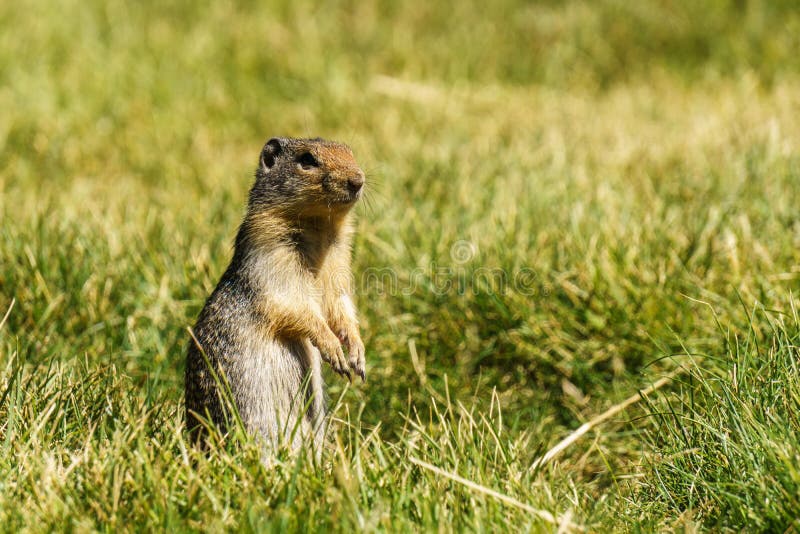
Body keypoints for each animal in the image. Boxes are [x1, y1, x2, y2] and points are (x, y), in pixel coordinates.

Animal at [184, 136, 366, 454]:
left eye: (350, 151)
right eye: (307, 159)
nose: (358, 180)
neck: (319, 227)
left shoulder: (338, 265)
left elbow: (340, 305)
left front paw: (357, 353)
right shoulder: (273, 258)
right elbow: (295, 306)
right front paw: (333, 349)